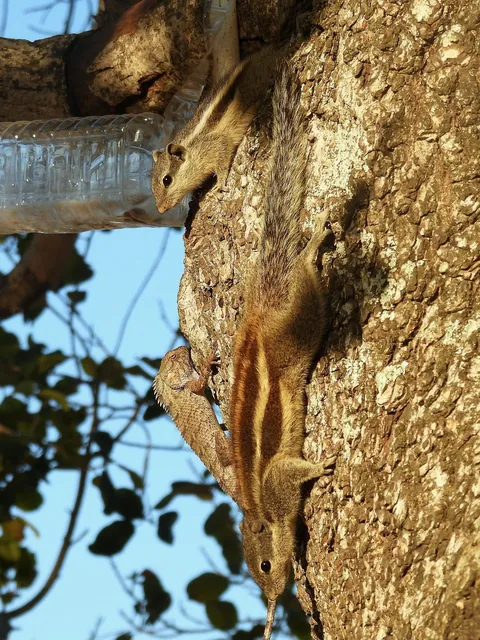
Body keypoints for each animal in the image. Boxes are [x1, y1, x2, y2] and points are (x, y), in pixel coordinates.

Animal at [151, 46, 281, 214]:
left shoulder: (216, 145)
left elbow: (222, 161)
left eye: (167, 180)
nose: (160, 209)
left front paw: (219, 184)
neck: (193, 150)